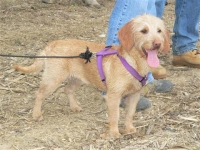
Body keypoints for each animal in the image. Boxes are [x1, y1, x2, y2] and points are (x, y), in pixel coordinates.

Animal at [13, 14, 170, 138]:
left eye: (159, 31)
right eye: (143, 31)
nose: (158, 43)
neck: (134, 61)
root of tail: (50, 45)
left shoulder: (134, 95)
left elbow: (130, 113)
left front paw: (129, 128)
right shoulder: (113, 96)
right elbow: (115, 116)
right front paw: (114, 133)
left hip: (77, 79)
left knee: (67, 90)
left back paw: (74, 107)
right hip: (53, 80)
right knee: (39, 94)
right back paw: (36, 114)